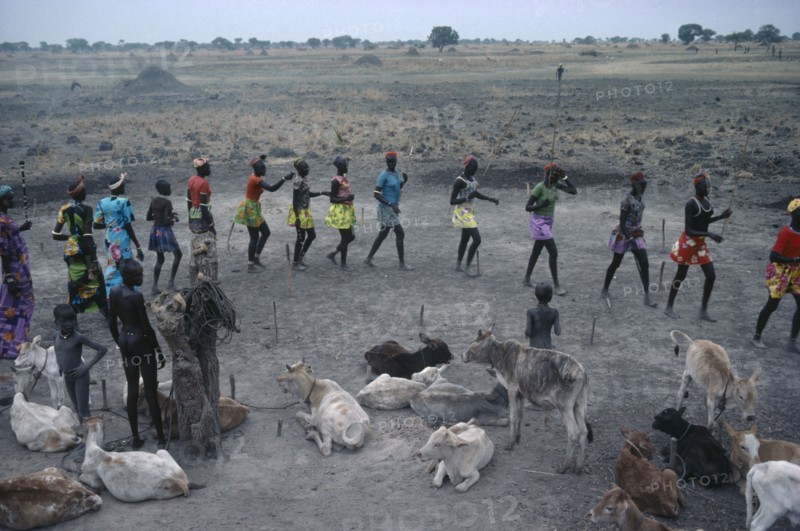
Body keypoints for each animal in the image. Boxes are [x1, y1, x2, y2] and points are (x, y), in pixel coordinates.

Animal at [462, 328, 592, 473]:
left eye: (474, 344)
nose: (462, 355)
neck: (500, 356)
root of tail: (582, 372)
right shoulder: (521, 393)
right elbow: (520, 415)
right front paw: (518, 437)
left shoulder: (512, 389)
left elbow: (513, 416)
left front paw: (510, 443)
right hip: (579, 404)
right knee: (584, 432)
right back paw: (578, 466)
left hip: (565, 407)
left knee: (574, 433)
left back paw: (563, 466)